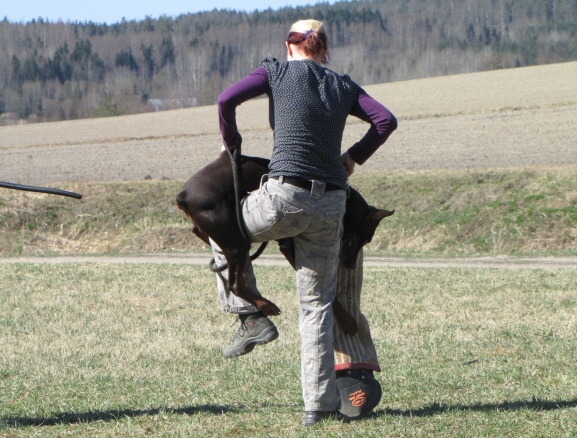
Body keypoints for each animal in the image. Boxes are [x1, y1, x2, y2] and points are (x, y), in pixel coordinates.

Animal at [176, 154, 392, 332]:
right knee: (234, 284)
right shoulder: (290, 246)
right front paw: (347, 321)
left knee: (199, 232)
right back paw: (266, 305)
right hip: (236, 241)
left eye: (367, 241)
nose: (351, 265)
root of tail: (182, 195)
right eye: (356, 239)